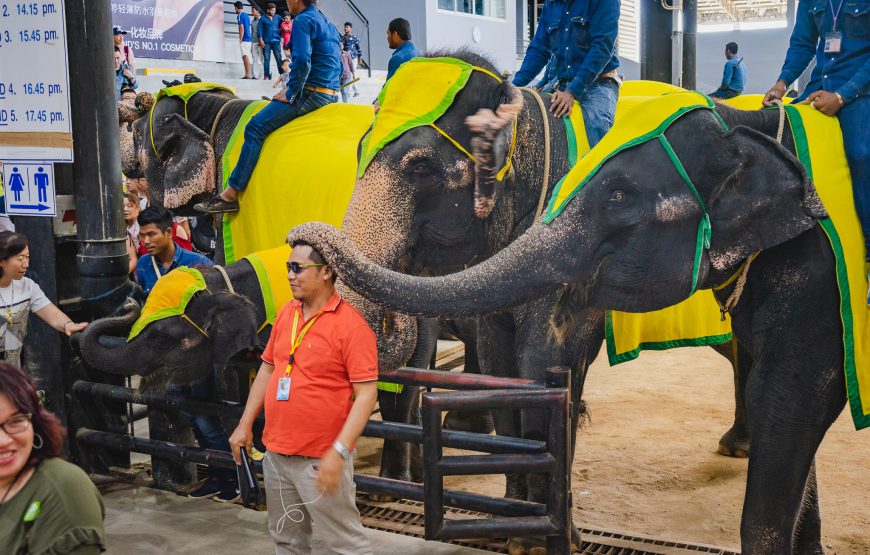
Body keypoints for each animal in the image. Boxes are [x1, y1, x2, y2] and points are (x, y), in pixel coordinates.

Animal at [292, 97, 852, 552]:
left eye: (422, 168)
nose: (300, 240)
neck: (744, 125)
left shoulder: (819, 272)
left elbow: (546, 359)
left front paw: (545, 541)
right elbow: (501, 361)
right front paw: (516, 535)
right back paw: (737, 444)